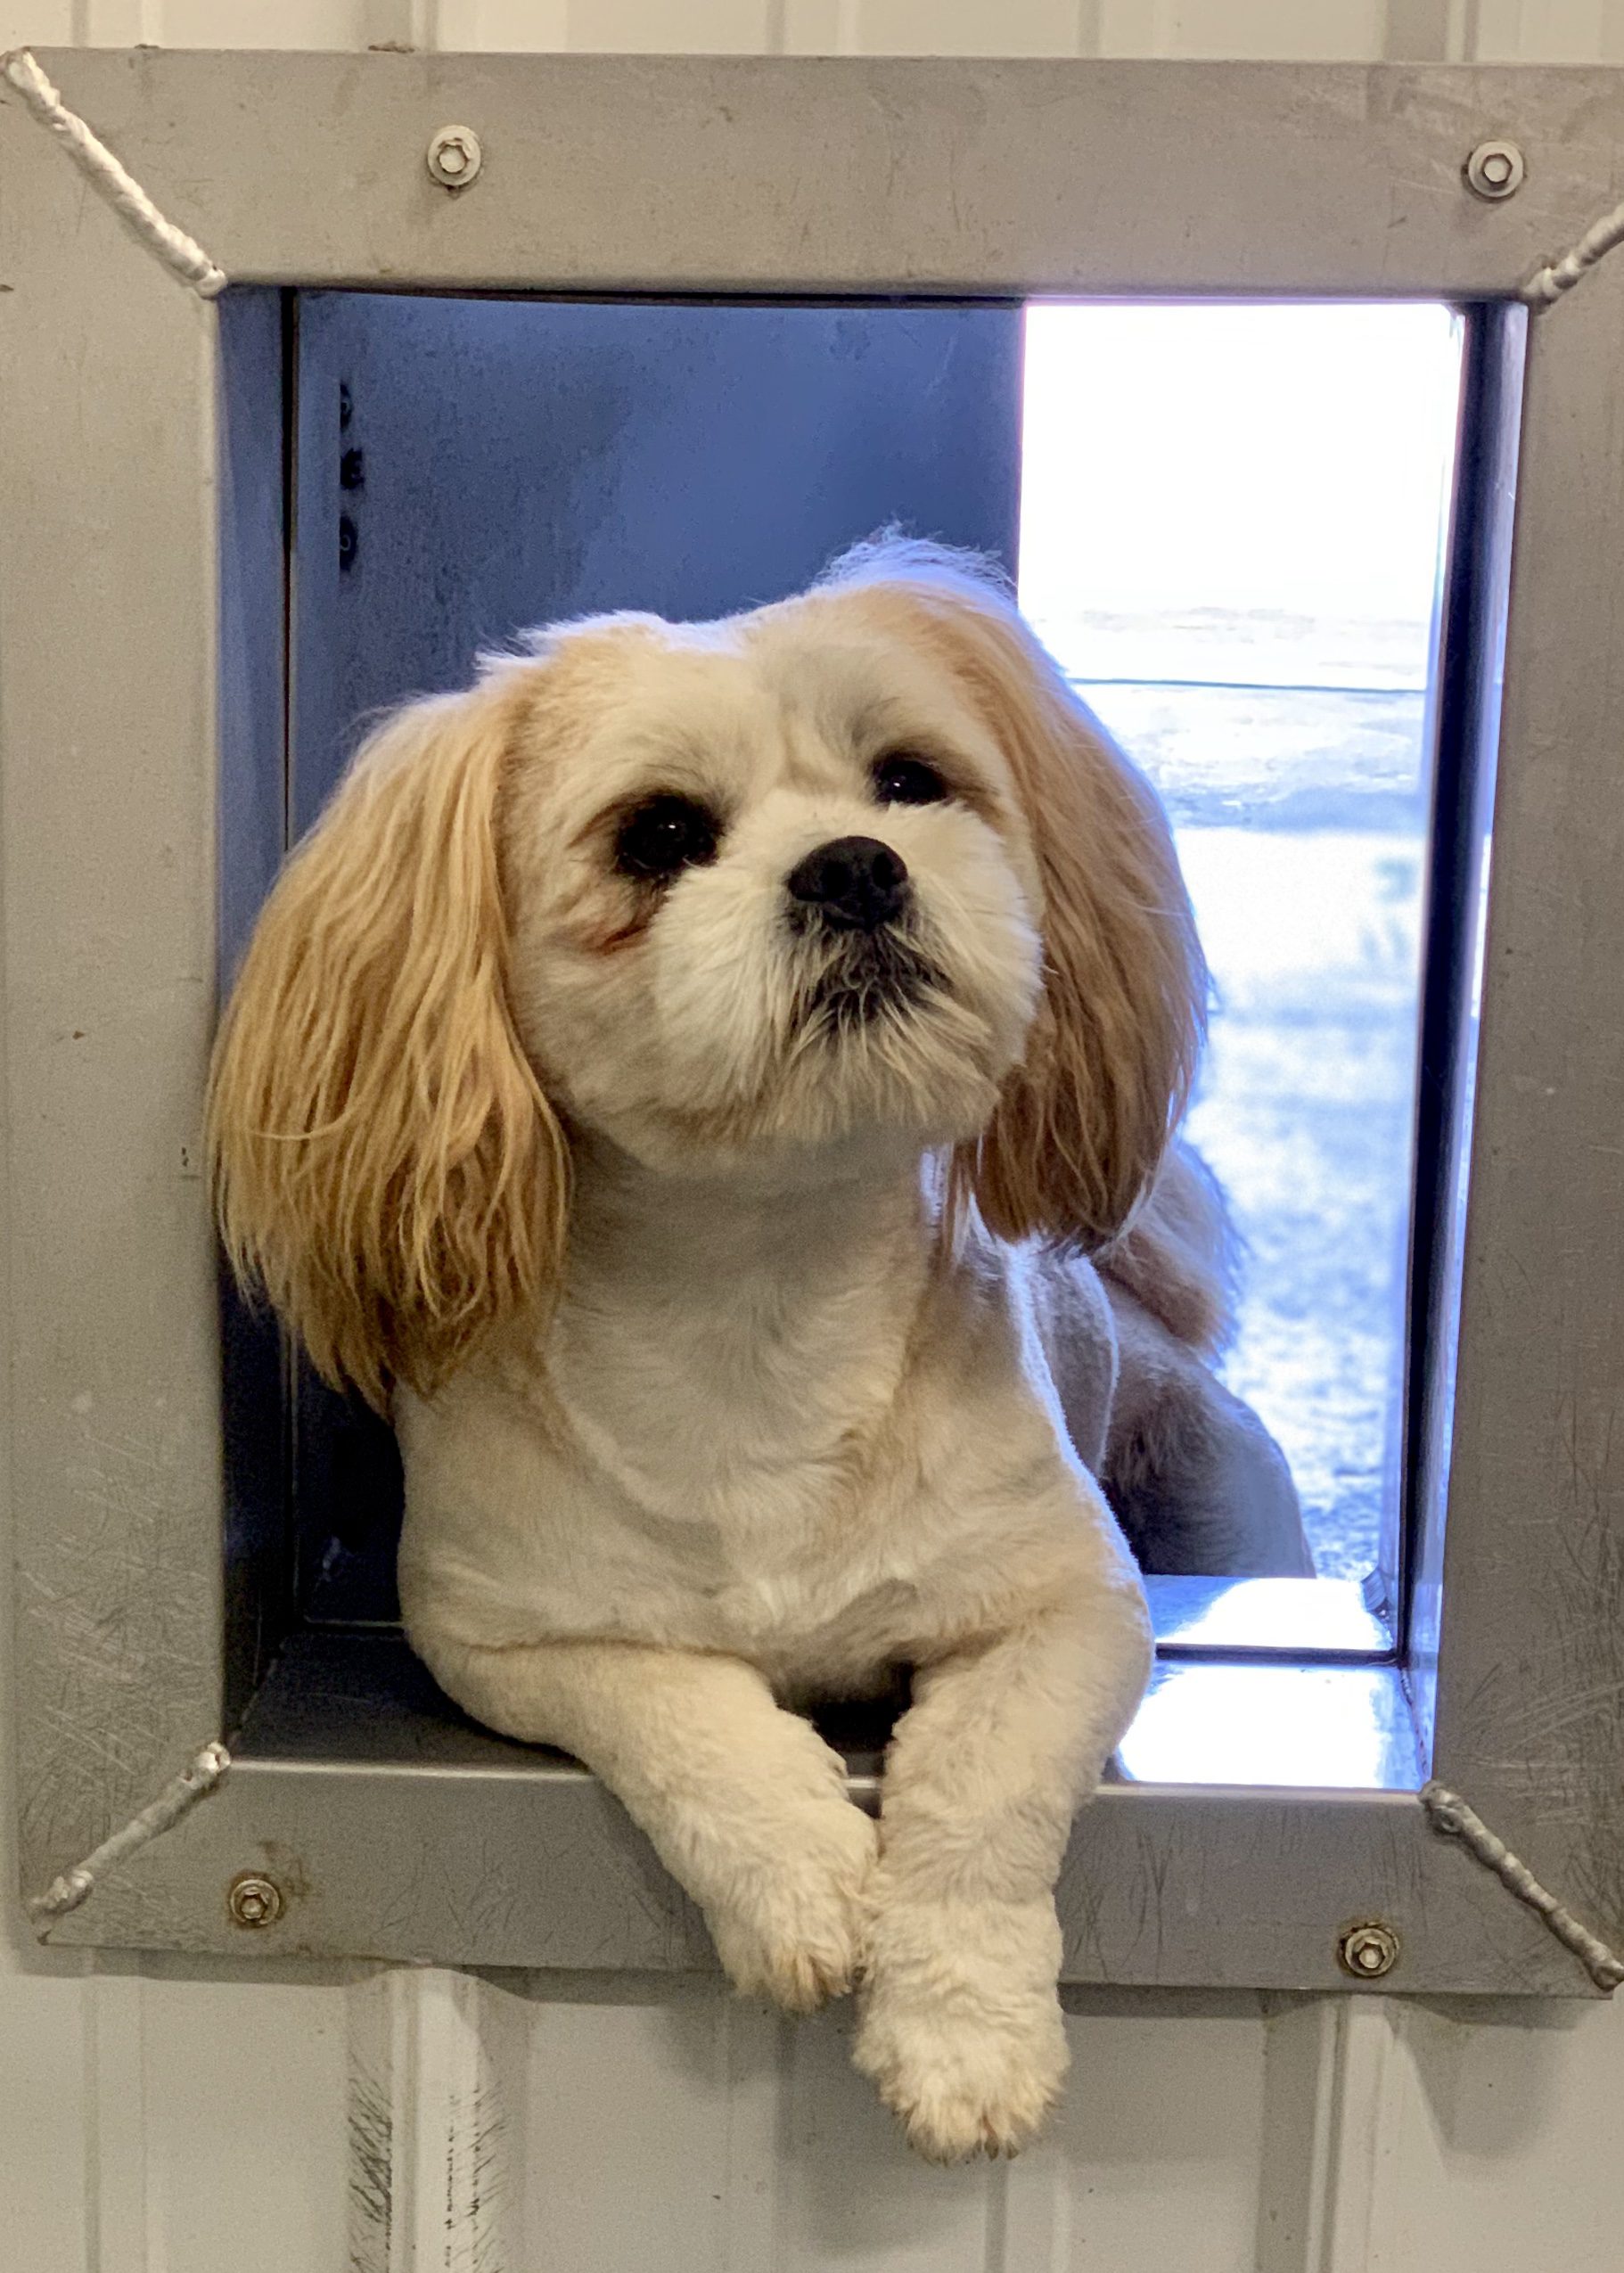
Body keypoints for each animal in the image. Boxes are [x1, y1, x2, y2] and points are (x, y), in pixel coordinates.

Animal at [206, 540, 1308, 2154]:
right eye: (659, 834)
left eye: (911, 780)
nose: (854, 864)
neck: (759, 1300)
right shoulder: (505, 1636)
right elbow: (679, 1714)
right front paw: (800, 1881)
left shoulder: (1069, 1606)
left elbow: (983, 1788)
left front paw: (962, 2032)